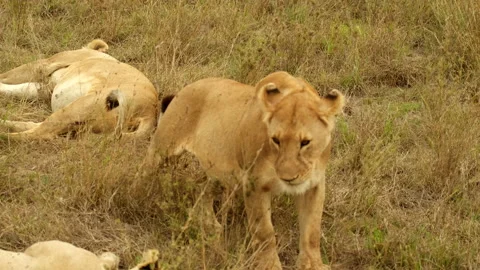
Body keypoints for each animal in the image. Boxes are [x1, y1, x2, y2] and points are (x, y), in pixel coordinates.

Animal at [0, 39, 158, 140]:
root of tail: (150, 114)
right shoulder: (45, 88)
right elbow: (12, 88)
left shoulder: (43, 65)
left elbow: (5, 76)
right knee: (36, 126)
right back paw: (4, 123)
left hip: (82, 105)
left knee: (40, 134)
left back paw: (4, 136)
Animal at [139, 70, 344, 268]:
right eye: (276, 140)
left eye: (305, 142)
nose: (287, 178)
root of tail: (183, 91)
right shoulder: (254, 183)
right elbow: (265, 233)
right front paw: (270, 266)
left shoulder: (314, 185)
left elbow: (312, 232)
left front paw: (313, 265)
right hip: (162, 150)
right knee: (143, 173)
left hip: (216, 171)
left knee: (201, 191)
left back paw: (212, 227)